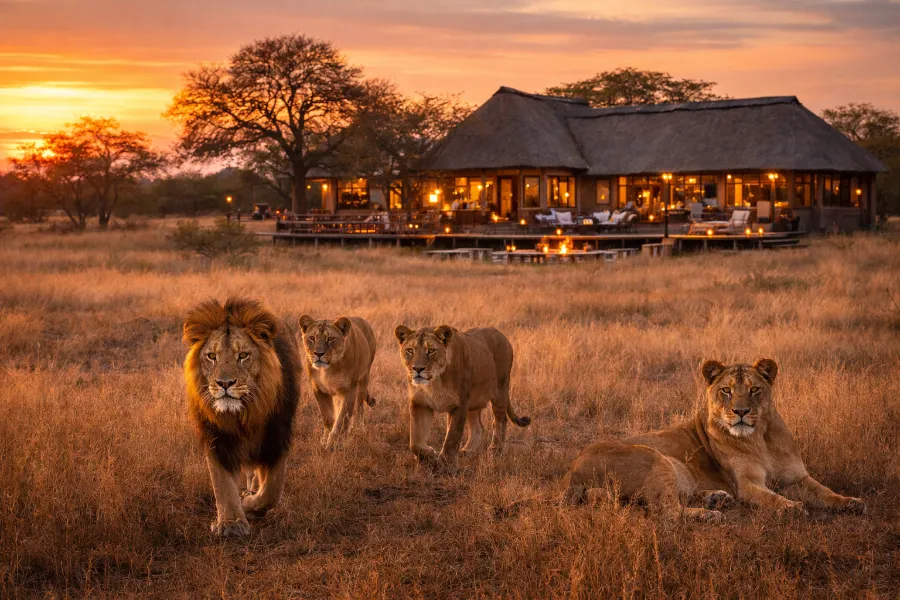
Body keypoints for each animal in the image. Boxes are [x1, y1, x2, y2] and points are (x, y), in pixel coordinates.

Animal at [183, 297, 302, 536]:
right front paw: (230, 523)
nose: (224, 383)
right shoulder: (217, 438)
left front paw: (250, 505)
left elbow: (272, 489)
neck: (243, 414)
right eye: (212, 356)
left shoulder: (277, 437)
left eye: (243, 356)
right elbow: (222, 482)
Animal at [297, 315, 377, 449]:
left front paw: (334, 443)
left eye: (330, 339)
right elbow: (328, 417)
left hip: (364, 378)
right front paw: (325, 439)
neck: (327, 370)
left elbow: (342, 418)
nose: (318, 353)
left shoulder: (349, 389)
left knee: (359, 406)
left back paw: (359, 429)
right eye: (312, 338)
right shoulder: (318, 390)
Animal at [395, 324, 531, 473]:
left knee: (500, 420)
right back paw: (467, 451)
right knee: (478, 427)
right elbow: (415, 442)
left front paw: (446, 465)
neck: (434, 382)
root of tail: (501, 334)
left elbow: (452, 437)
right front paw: (430, 456)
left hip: (500, 389)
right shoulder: (420, 404)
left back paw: (496, 449)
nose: (417, 369)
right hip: (474, 402)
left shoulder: (459, 405)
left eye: (431, 350)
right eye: (410, 350)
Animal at [563, 359, 866, 521]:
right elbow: (771, 498)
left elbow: (825, 492)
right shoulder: (746, 484)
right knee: (668, 511)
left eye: (754, 389)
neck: (761, 439)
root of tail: (572, 469)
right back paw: (711, 513)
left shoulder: (798, 478)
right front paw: (791, 507)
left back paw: (716, 499)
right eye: (726, 391)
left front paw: (852, 502)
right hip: (652, 455)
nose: (741, 412)